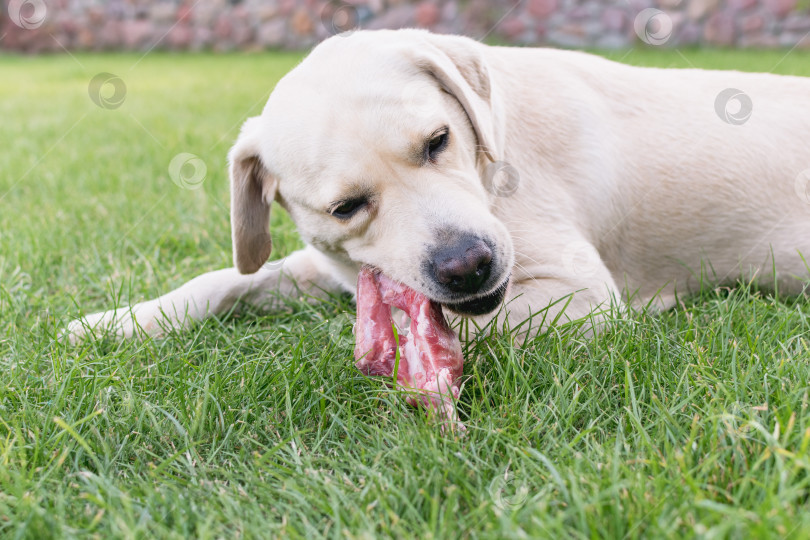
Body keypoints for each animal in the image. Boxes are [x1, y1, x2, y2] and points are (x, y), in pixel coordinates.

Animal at [68, 28, 808, 342]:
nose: (468, 264)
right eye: (346, 207)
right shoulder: (329, 264)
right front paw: (121, 321)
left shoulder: (582, 294)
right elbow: (225, 279)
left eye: (437, 142)